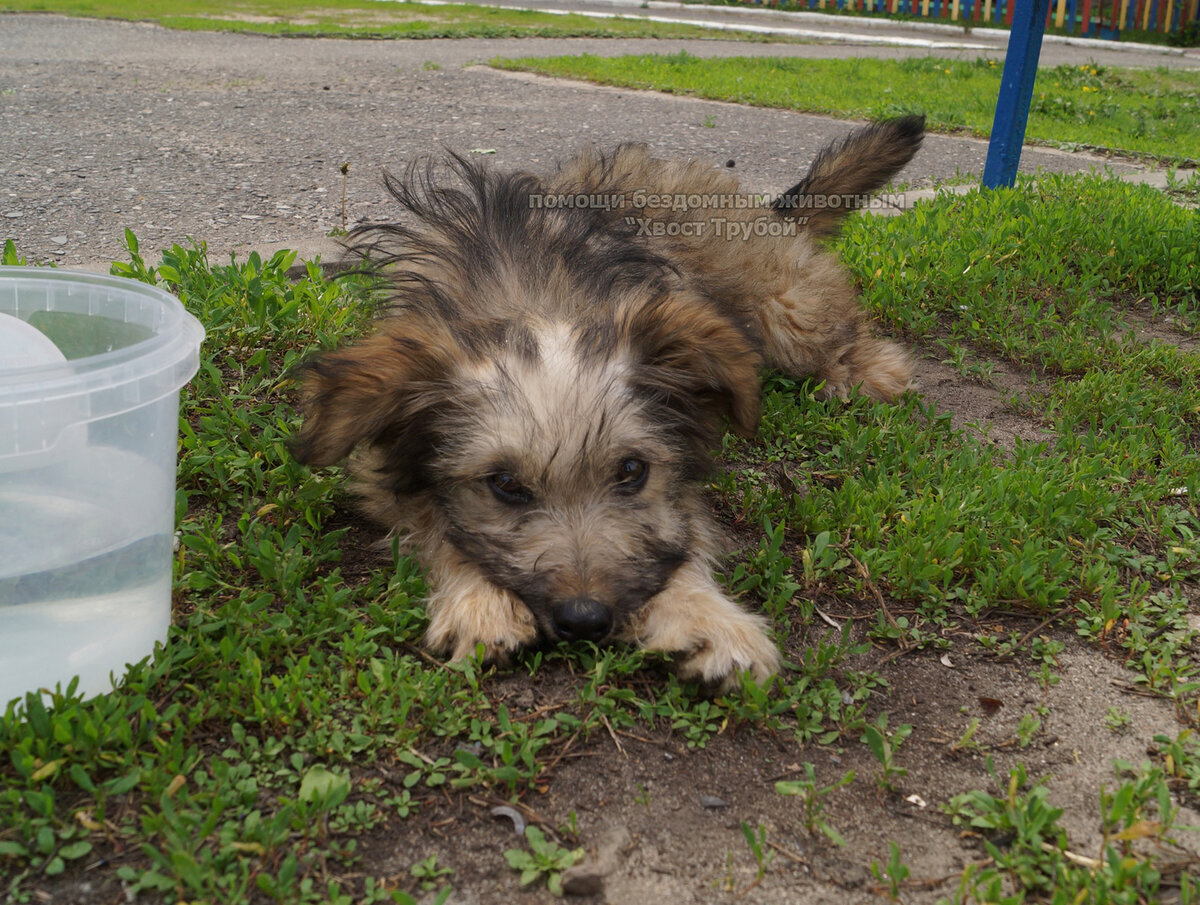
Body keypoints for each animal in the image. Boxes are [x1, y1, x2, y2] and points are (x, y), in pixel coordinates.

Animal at [292, 116, 926, 686]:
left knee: (851, 337)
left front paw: (705, 616)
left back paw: (863, 374)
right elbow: (435, 523)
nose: (584, 620)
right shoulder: (379, 462)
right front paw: (480, 603)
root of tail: (765, 208)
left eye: (631, 471)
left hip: (787, 309)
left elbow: (682, 538)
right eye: (503, 485)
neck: (533, 298)